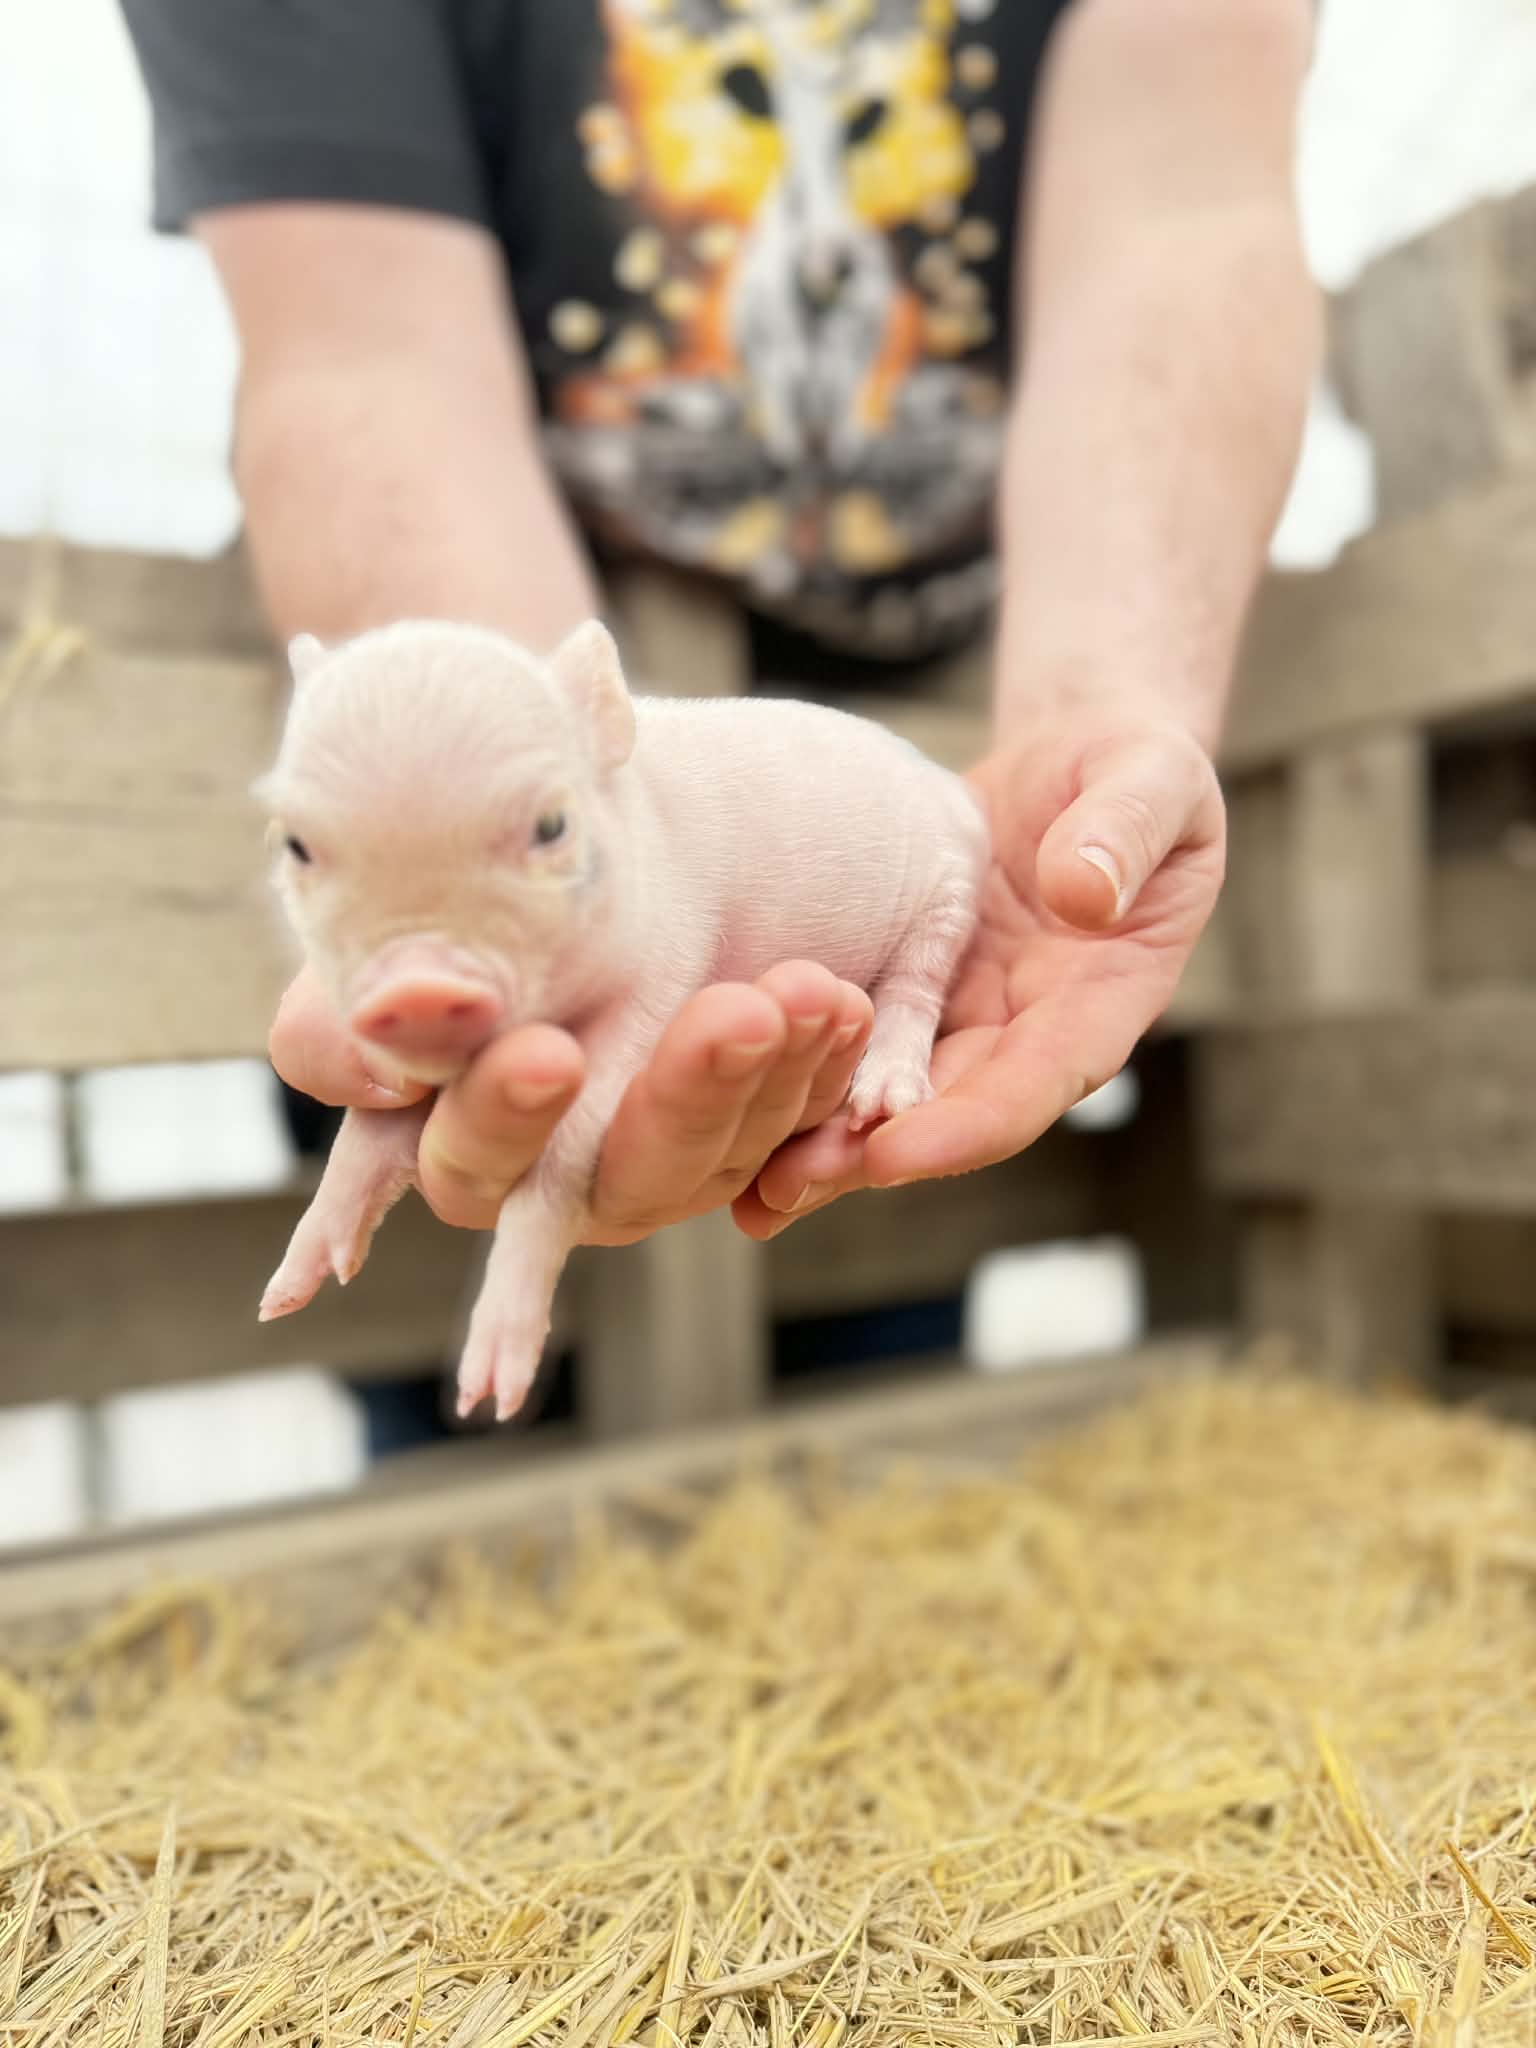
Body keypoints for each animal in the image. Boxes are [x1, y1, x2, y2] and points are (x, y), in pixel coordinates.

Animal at [254, 619, 988, 1422]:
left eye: (552, 825)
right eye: (295, 845)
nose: (416, 983)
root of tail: (950, 784)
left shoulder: (664, 969)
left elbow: (562, 1151)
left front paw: (492, 1396)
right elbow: (363, 1138)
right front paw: (282, 1298)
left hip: (949, 895)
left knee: (916, 987)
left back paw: (879, 1103)